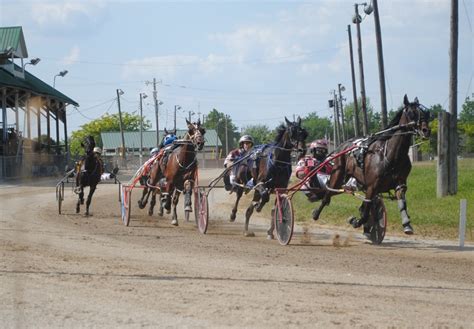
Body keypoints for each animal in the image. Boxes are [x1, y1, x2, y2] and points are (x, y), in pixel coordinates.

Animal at [312, 95, 432, 236]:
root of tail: (343, 145)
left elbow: (401, 203)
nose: (426, 130)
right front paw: (356, 221)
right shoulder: (372, 186)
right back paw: (316, 213)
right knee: (327, 194)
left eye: (424, 112)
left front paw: (407, 224)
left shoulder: (399, 183)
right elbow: (365, 213)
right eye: (410, 112)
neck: (390, 155)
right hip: (338, 175)